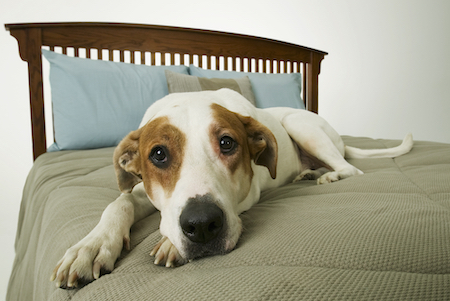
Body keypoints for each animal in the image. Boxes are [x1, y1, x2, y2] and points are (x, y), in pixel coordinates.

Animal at [51, 88, 414, 288]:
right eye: (158, 154)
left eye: (227, 143)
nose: (200, 225)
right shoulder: (140, 191)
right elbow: (120, 203)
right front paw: (92, 246)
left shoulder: (251, 191)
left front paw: (168, 242)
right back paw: (309, 174)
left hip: (300, 125)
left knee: (351, 168)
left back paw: (327, 176)